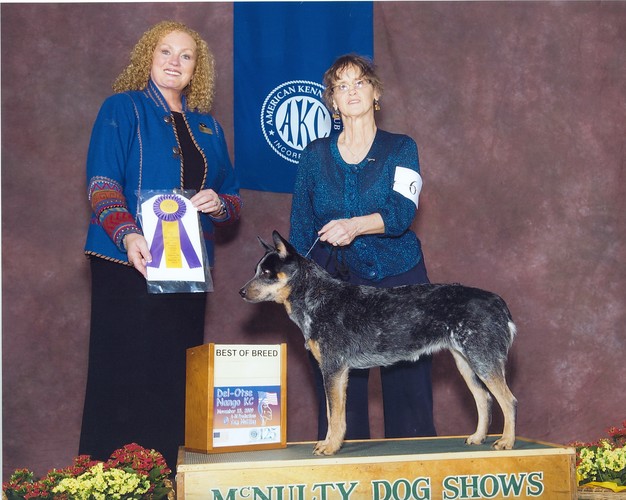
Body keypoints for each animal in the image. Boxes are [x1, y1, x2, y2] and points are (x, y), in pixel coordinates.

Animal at [239, 231, 517, 456]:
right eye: (255, 270)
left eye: (267, 273)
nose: (241, 292)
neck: (316, 298)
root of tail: (499, 303)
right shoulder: (337, 372)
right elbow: (333, 412)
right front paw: (330, 443)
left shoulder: (333, 368)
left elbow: (335, 415)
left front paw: (330, 447)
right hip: (467, 363)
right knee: (484, 399)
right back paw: (478, 437)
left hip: (483, 360)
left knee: (508, 400)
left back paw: (506, 441)